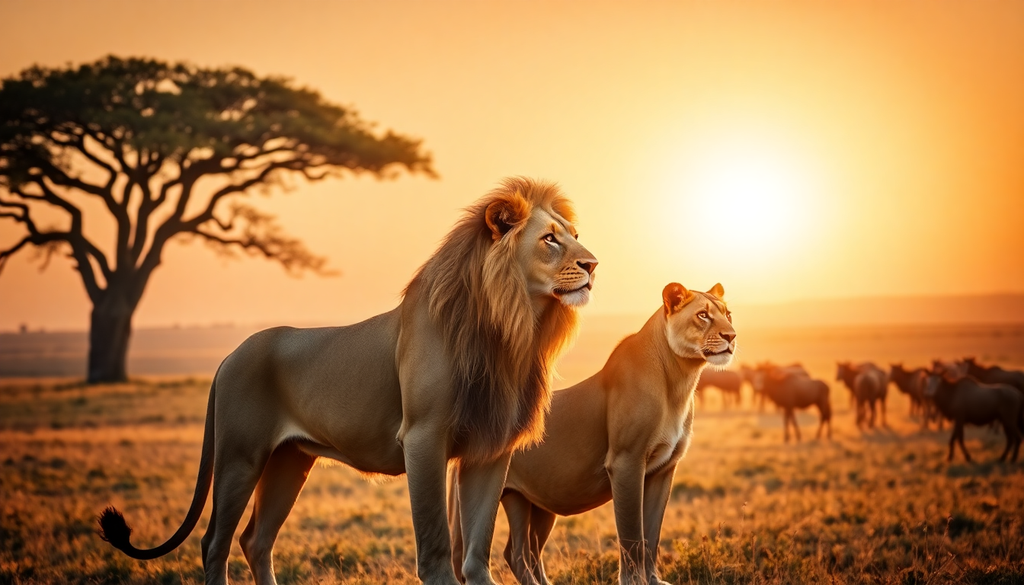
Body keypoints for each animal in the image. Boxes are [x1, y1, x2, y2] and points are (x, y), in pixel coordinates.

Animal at [97, 177, 598, 585]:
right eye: (550, 239)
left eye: (575, 236)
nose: (593, 265)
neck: (513, 328)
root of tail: (229, 356)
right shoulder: (424, 437)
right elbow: (436, 544)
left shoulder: (490, 449)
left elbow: (475, 551)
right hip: (240, 456)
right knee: (214, 544)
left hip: (289, 462)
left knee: (255, 541)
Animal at [449, 282, 735, 585]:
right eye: (703, 315)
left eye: (728, 314)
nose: (731, 335)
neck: (678, 380)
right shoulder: (626, 462)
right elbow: (632, 535)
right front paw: (633, 581)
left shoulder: (664, 470)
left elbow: (652, 535)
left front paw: (654, 580)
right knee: (506, 552)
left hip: (536, 504)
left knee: (524, 551)